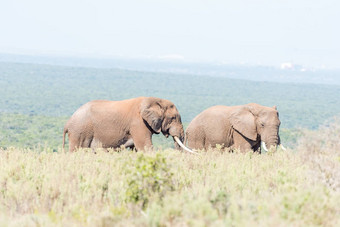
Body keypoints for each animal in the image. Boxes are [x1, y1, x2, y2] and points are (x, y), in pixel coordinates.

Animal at [63, 96, 197, 153]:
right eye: (173, 118)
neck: (155, 99)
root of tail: (67, 123)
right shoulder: (138, 123)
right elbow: (145, 147)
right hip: (80, 131)